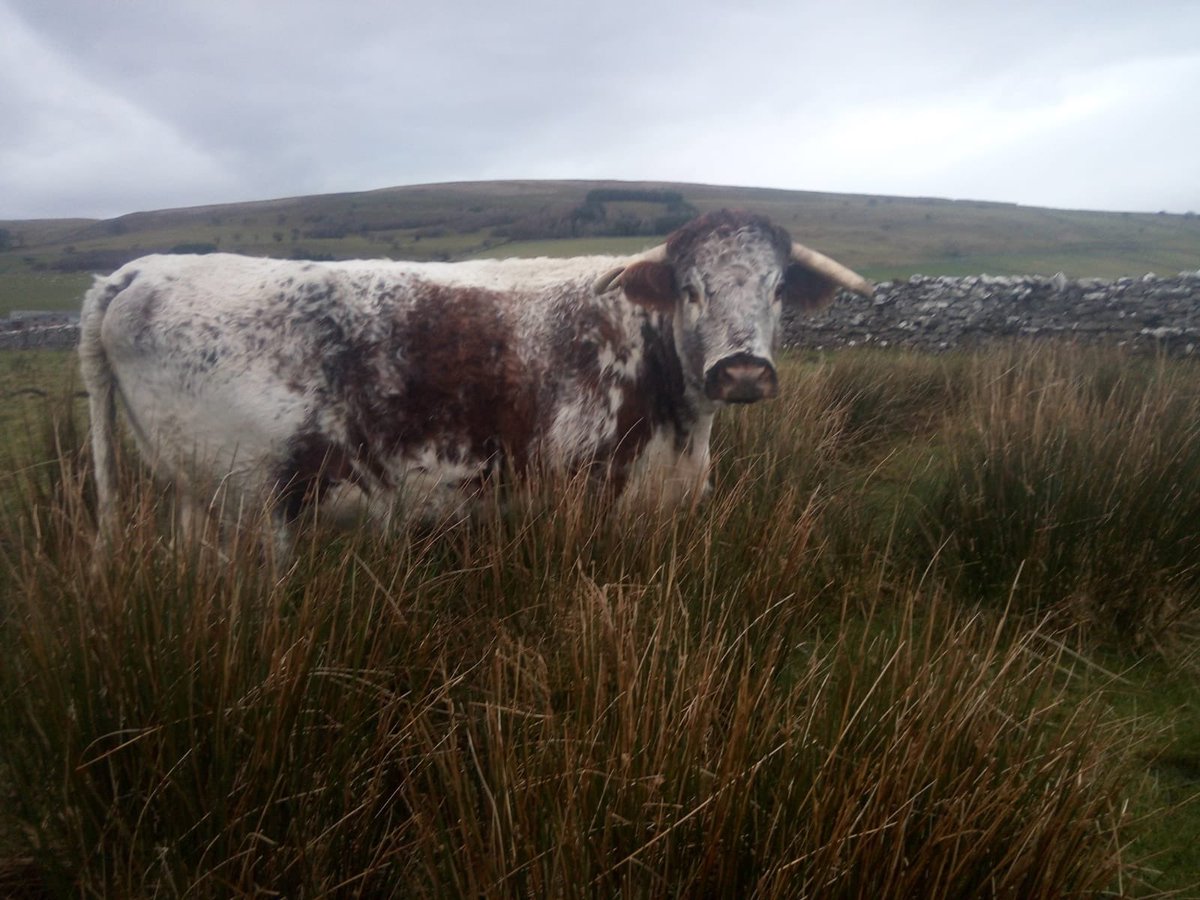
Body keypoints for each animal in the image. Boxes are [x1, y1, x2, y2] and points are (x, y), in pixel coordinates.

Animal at [79, 210, 871, 551]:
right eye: (690, 288)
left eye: (777, 288)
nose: (741, 369)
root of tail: (140, 270)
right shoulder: (582, 490)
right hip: (249, 501)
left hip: (202, 501)